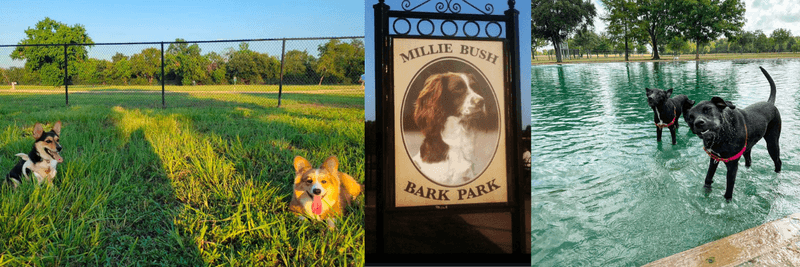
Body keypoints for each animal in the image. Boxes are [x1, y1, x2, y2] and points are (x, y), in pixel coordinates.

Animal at [680, 67, 780, 201]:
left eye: (708, 109)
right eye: (690, 117)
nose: (698, 123)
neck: (722, 135)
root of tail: (770, 103)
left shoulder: (732, 164)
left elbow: (729, 189)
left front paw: (727, 202)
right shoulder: (714, 158)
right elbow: (708, 178)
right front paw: (706, 190)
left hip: (772, 143)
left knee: (778, 162)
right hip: (748, 148)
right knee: (749, 160)